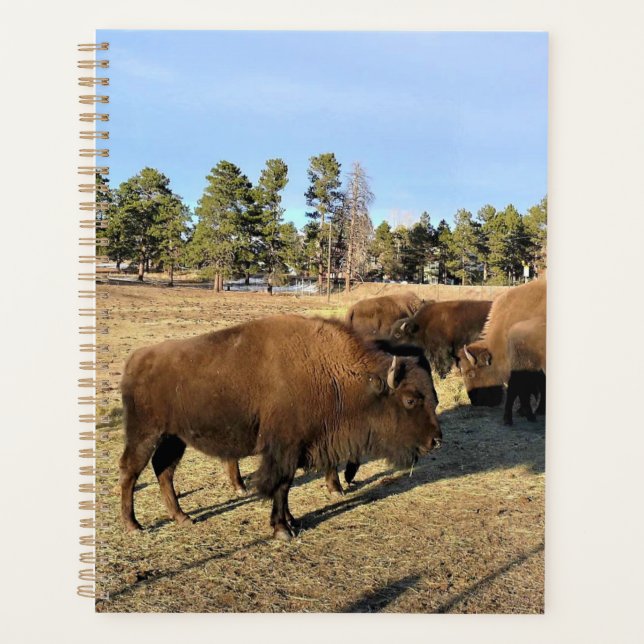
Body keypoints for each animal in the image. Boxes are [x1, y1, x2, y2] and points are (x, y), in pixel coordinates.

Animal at [119, 315, 442, 540]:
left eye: (434, 398)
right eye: (411, 399)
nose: (436, 440)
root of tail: (136, 358)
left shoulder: (298, 448)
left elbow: (285, 488)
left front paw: (292, 521)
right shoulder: (284, 449)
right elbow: (281, 485)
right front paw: (281, 529)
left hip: (175, 437)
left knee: (164, 470)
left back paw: (182, 516)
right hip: (145, 433)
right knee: (131, 470)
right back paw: (133, 525)